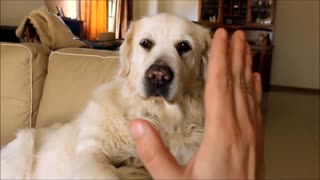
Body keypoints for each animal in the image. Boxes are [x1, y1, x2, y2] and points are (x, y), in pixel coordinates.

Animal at [0, 13, 212, 179]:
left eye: (184, 46)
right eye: (145, 43)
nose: (158, 76)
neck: (157, 115)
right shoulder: (90, 154)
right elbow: (108, 173)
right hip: (23, 149)